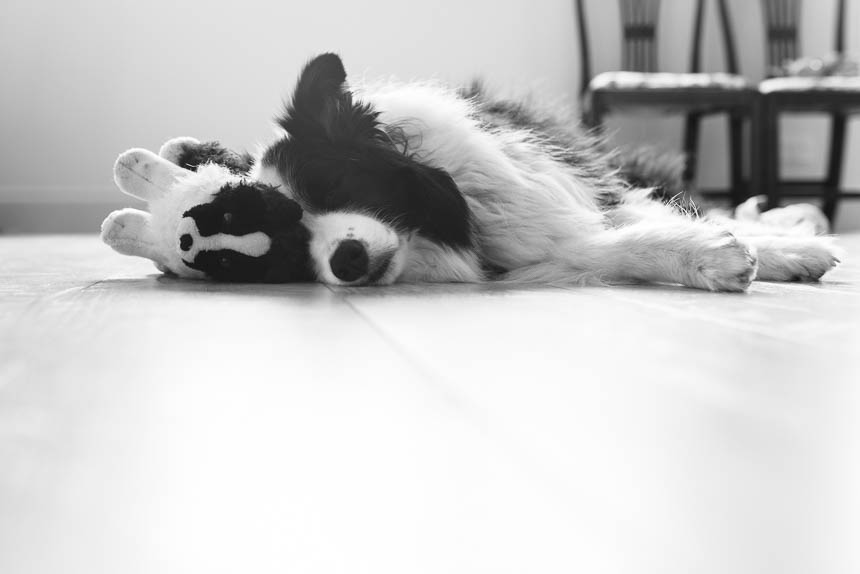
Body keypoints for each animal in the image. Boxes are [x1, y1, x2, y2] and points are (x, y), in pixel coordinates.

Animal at [143, 51, 840, 290]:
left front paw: (757, 250)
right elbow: (601, 249)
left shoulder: (567, 191)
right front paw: (710, 256)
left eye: (338, 185)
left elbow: (630, 221)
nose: (345, 262)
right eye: (285, 241)